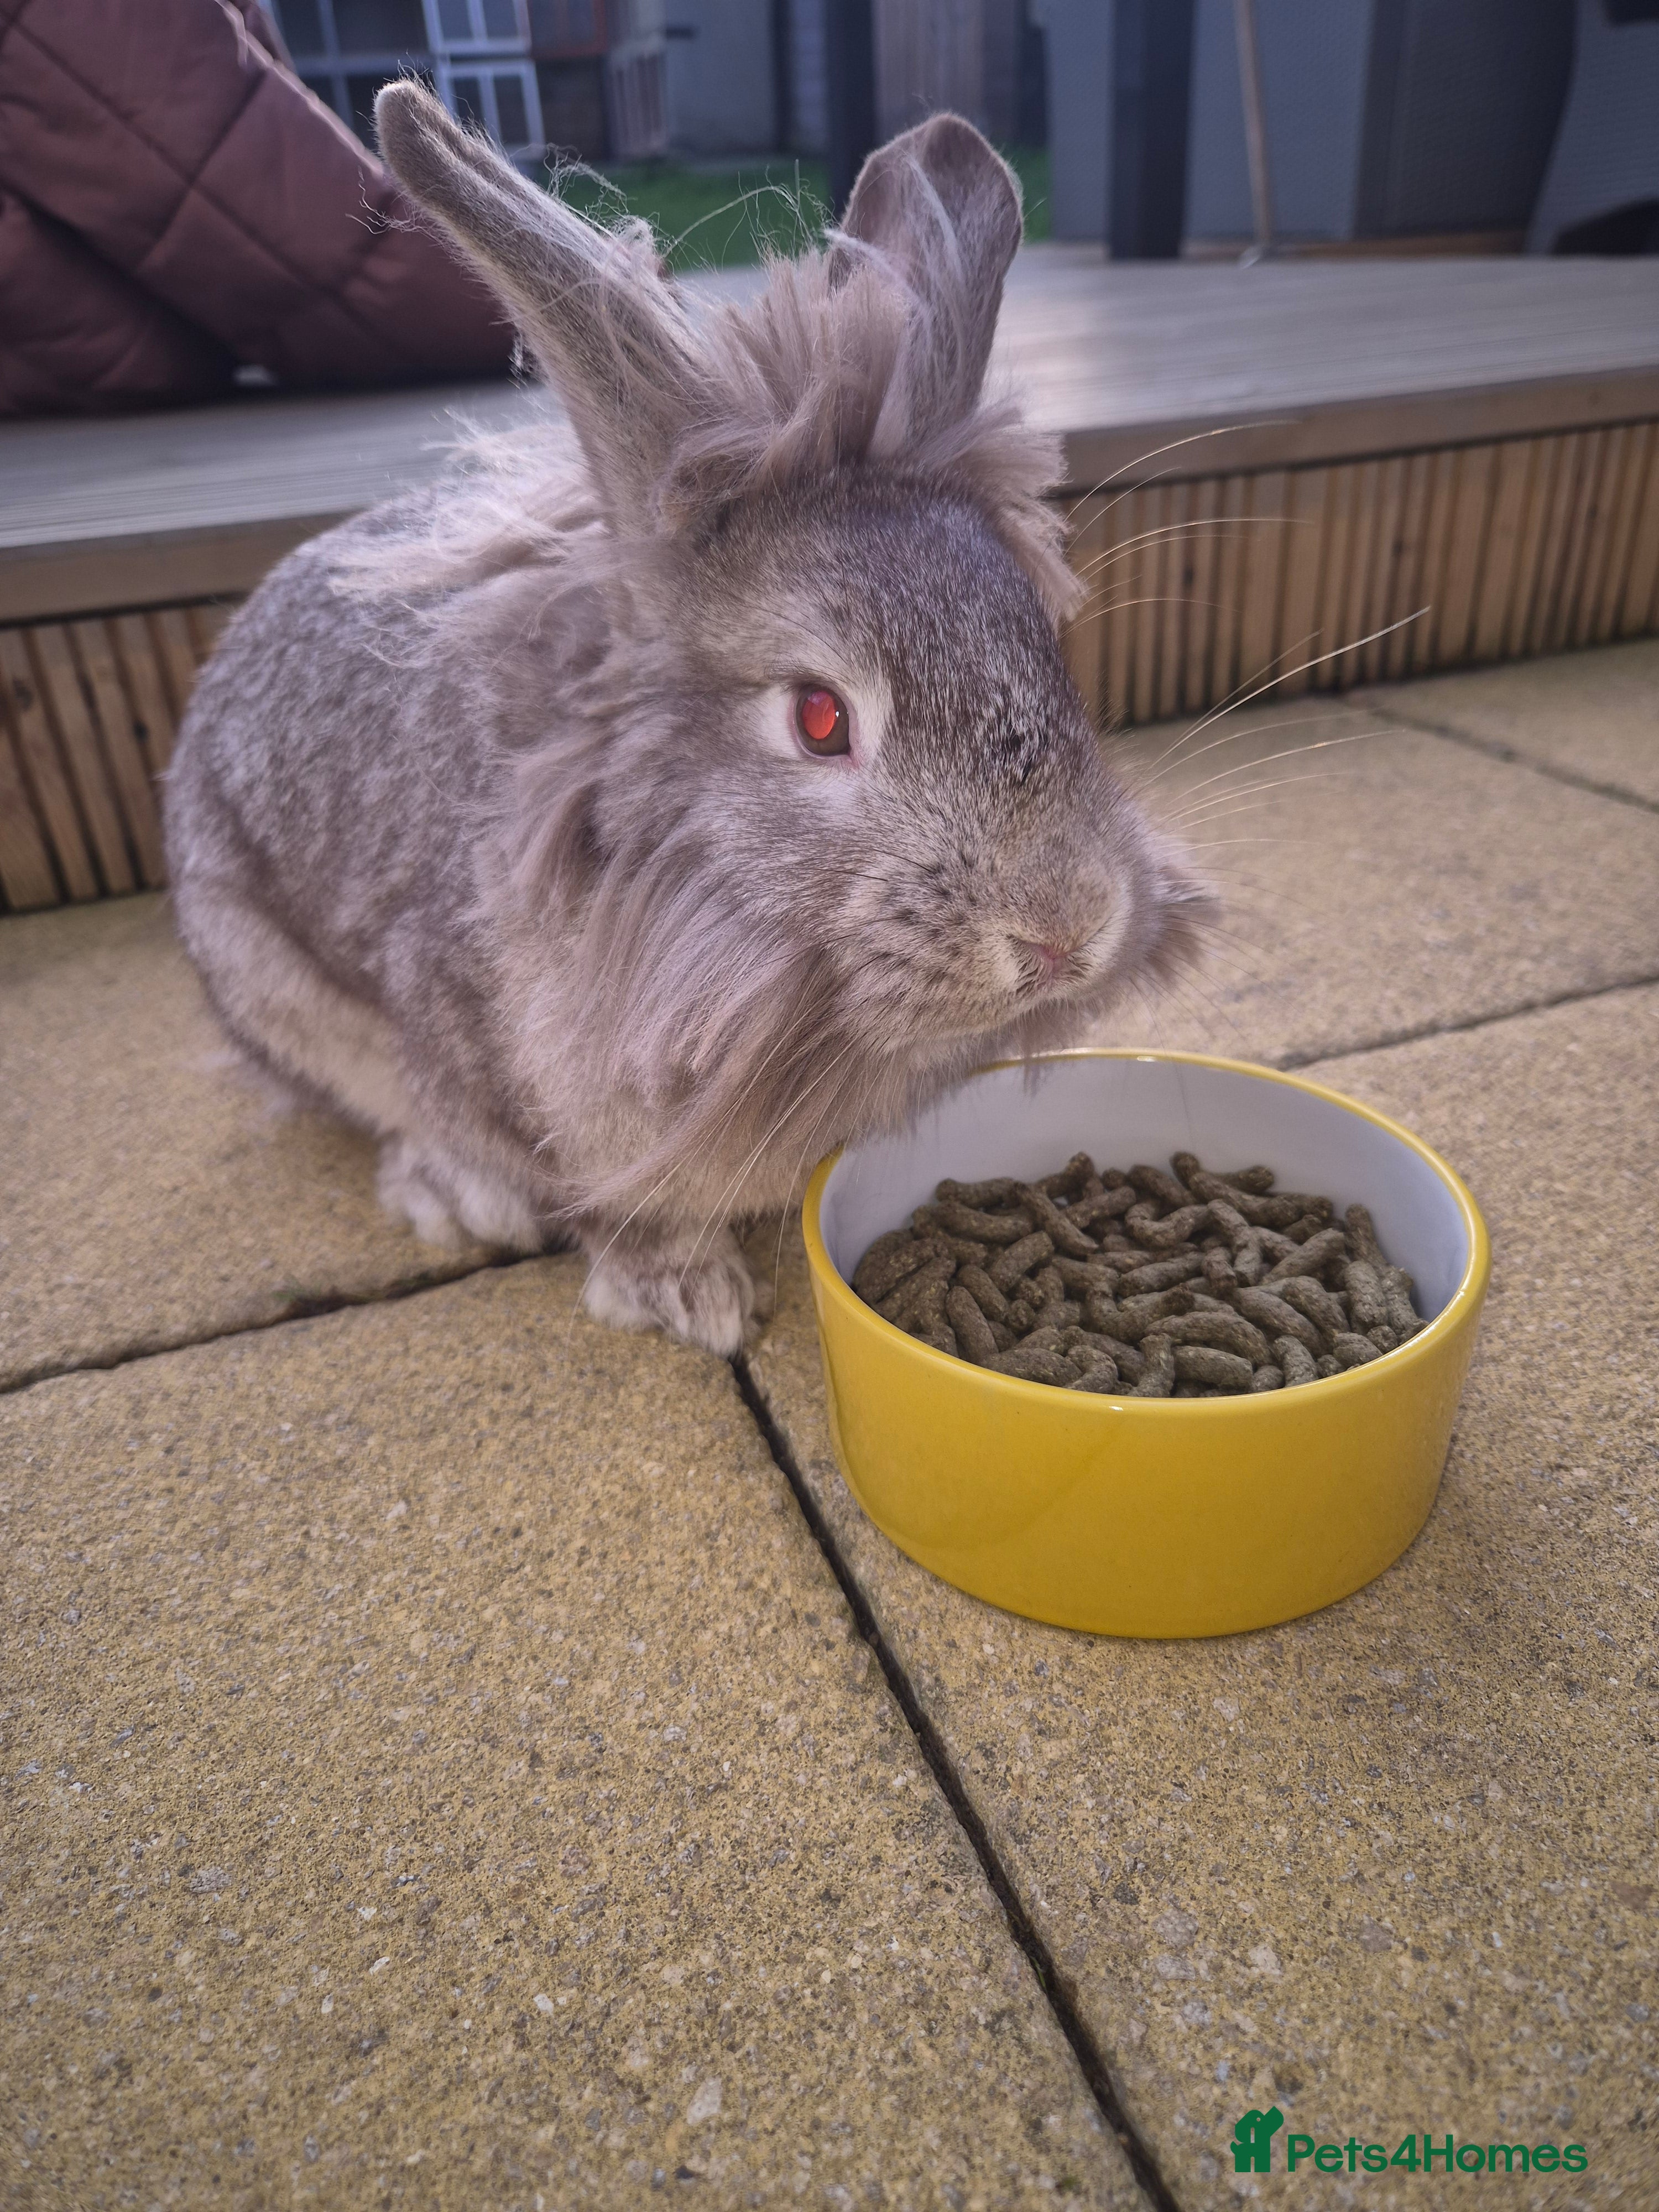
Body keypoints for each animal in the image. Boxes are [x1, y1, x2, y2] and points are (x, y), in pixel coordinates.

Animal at [164, 83, 1215, 1357]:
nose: (1068, 930)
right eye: (820, 718)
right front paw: (692, 1300)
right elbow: (598, 1203)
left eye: (1048, 648)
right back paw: (458, 1199)